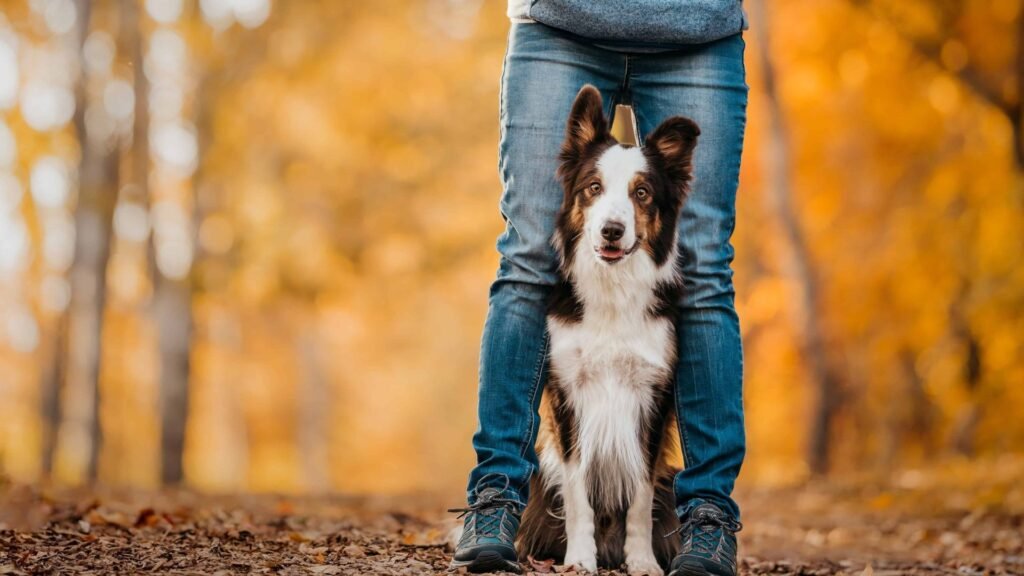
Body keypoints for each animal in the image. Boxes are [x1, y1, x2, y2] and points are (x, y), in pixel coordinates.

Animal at [516, 86, 700, 573]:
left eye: (642, 193)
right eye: (593, 188)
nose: (612, 231)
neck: (613, 293)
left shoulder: (651, 397)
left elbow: (639, 494)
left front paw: (643, 561)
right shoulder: (569, 396)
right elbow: (579, 491)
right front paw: (581, 558)